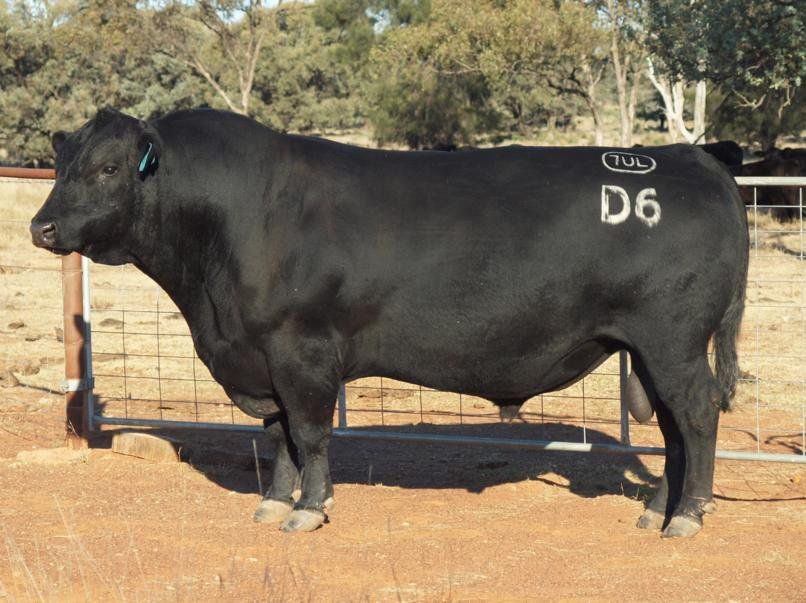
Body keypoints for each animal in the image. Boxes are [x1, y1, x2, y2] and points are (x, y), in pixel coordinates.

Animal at [31, 108, 748, 537]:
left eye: (108, 168)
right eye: (61, 167)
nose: (42, 227)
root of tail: (689, 157)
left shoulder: (300, 350)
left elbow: (310, 434)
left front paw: (310, 509)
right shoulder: (258, 357)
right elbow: (277, 435)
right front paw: (275, 502)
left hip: (674, 342)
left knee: (697, 415)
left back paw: (688, 515)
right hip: (650, 350)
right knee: (677, 430)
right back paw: (657, 511)